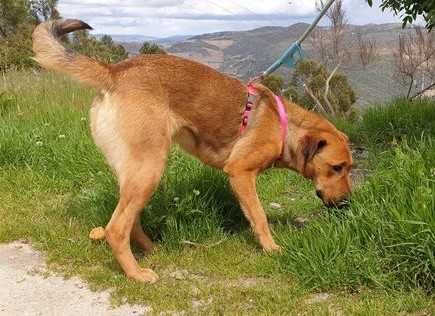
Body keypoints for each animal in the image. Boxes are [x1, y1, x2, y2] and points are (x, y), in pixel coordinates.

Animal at [32, 19, 352, 282]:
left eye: (349, 168)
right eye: (336, 167)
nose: (347, 204)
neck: (284, 127)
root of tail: (115, 72)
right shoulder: (240, 173)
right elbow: (260, 217)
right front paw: (271, 248)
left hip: (136, 173)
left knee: (129, 219)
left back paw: (150, 249)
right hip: (149, 170)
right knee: (116, 228)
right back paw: (137, 274)